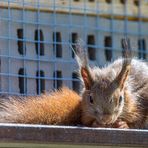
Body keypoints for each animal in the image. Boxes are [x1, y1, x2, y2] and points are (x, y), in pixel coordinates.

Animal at [0, 38, 147, 129]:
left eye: (121, 99)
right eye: (90, 99)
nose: (106, 119)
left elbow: (138, 119)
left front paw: (123, 125)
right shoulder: (85, 111)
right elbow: (86, 121)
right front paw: (96, 123)